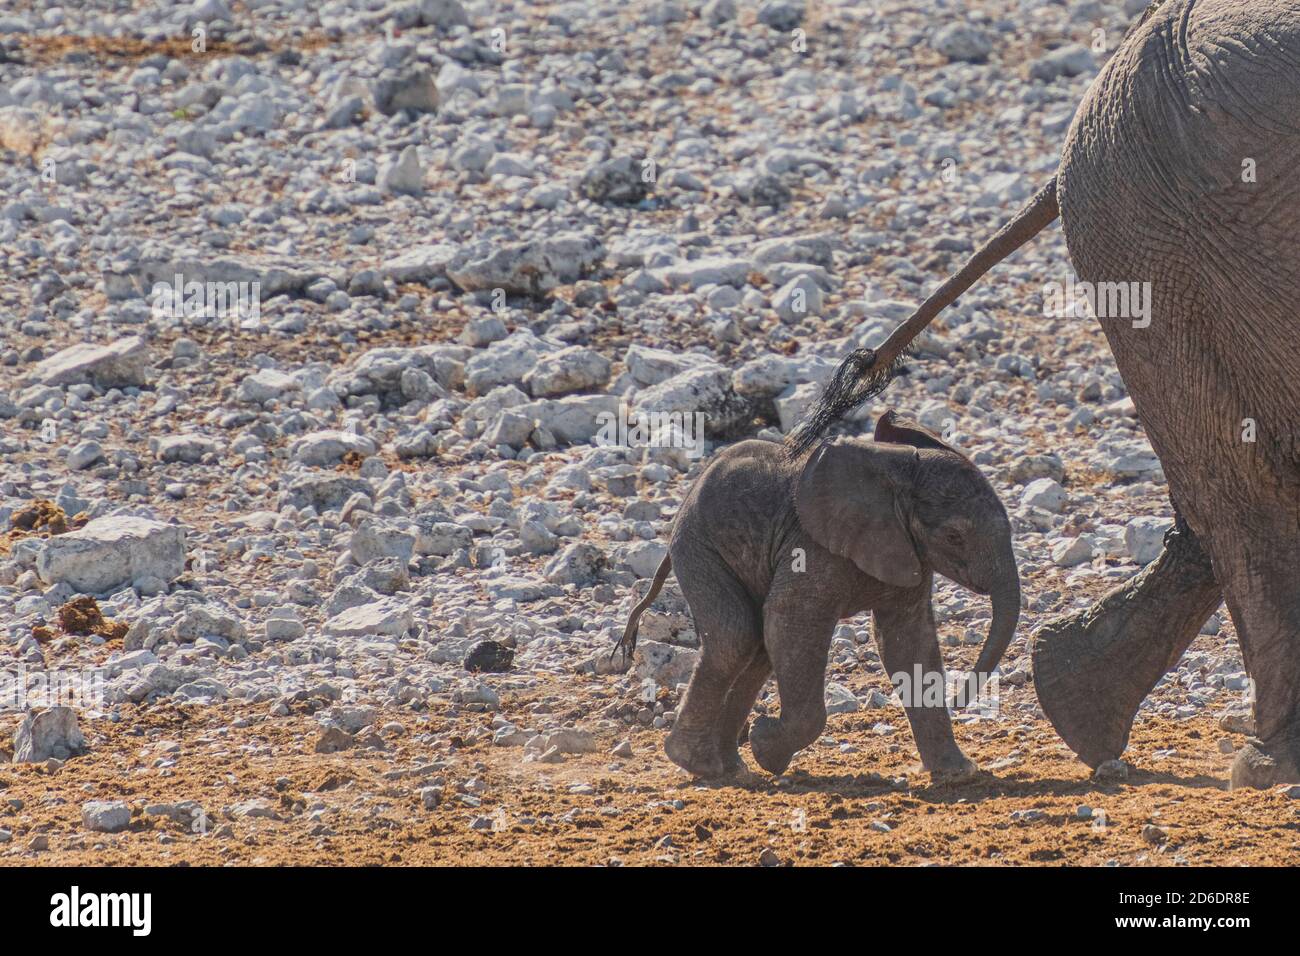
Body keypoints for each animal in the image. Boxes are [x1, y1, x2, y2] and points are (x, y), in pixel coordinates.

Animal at [614, 410, 1020, 780]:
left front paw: (959, 774)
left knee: (757, 646)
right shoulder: (813, 546)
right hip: (700, 546)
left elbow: (908, 641)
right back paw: (701, 764)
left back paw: (732, 770)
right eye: (954, 537)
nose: (960, 698)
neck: (895, 472)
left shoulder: (908, 550)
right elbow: (793, 619)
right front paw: (764, 746)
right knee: (737, 636)